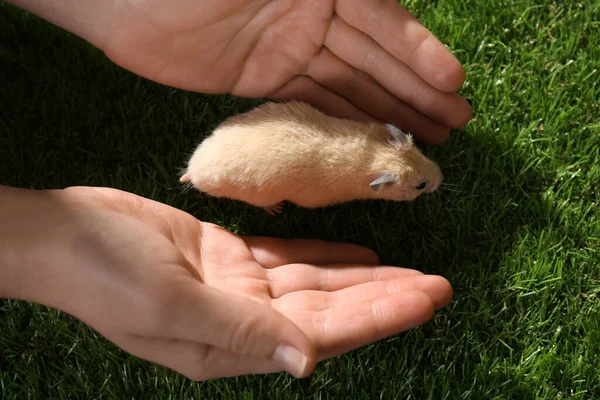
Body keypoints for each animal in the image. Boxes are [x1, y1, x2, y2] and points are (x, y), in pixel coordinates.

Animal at [180, 101, 442, 216]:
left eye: (420, 152)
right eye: (420, 185)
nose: (442, 177)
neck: (374, 157)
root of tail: (193, 170)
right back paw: (276, 209)